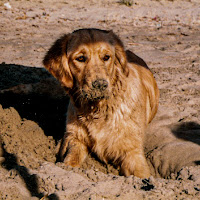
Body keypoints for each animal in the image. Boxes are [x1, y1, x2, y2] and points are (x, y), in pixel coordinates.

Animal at [43, 28, 159, 178]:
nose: (100, 84)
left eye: (106, 57)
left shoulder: (132, 151)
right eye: (81, 58)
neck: (98, 109)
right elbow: (70, 160)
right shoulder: (75, 138)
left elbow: (140, 173)